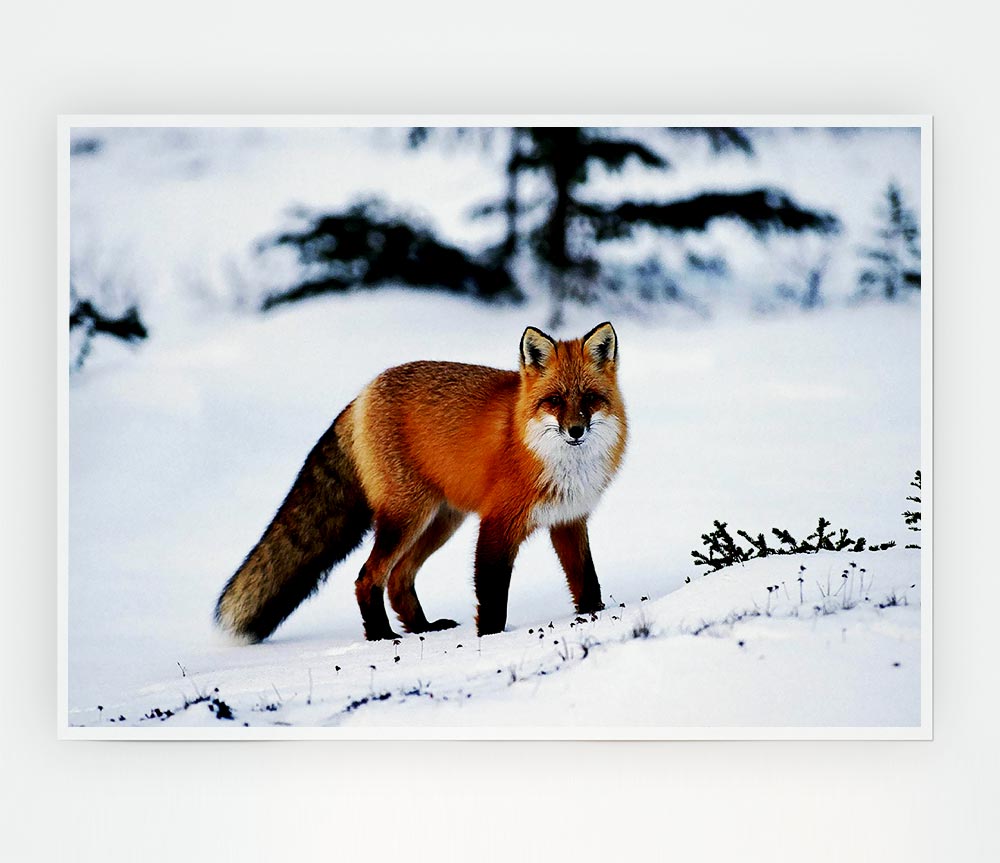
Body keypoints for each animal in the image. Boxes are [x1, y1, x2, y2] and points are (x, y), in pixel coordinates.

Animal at [217, 322, 624, 640]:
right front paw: (491, 638)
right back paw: (382, 637)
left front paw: (594, 616)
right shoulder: (497, 523)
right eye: (554, 400)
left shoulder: (569, 520)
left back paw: (423, 628)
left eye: (590, 398)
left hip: (441, 521)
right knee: (368, 577)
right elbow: (492, 595)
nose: (575, 431)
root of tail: (363, 393)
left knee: (398, 579)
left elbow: (587, 580)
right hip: (406, 517)